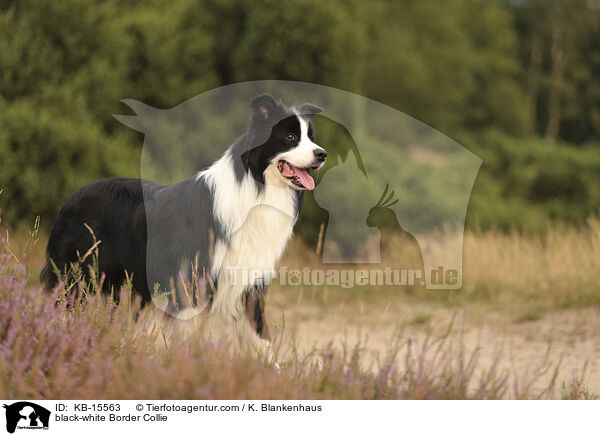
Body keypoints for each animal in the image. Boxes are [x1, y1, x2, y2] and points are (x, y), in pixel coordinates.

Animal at [41, 95, 328, 348]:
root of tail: (73, 197)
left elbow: (258, 334)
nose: (322, 154)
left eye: (311, 138)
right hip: (78, 275)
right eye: (290, 137)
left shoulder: (249, 281)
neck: (257, 187)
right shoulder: (194, 279)